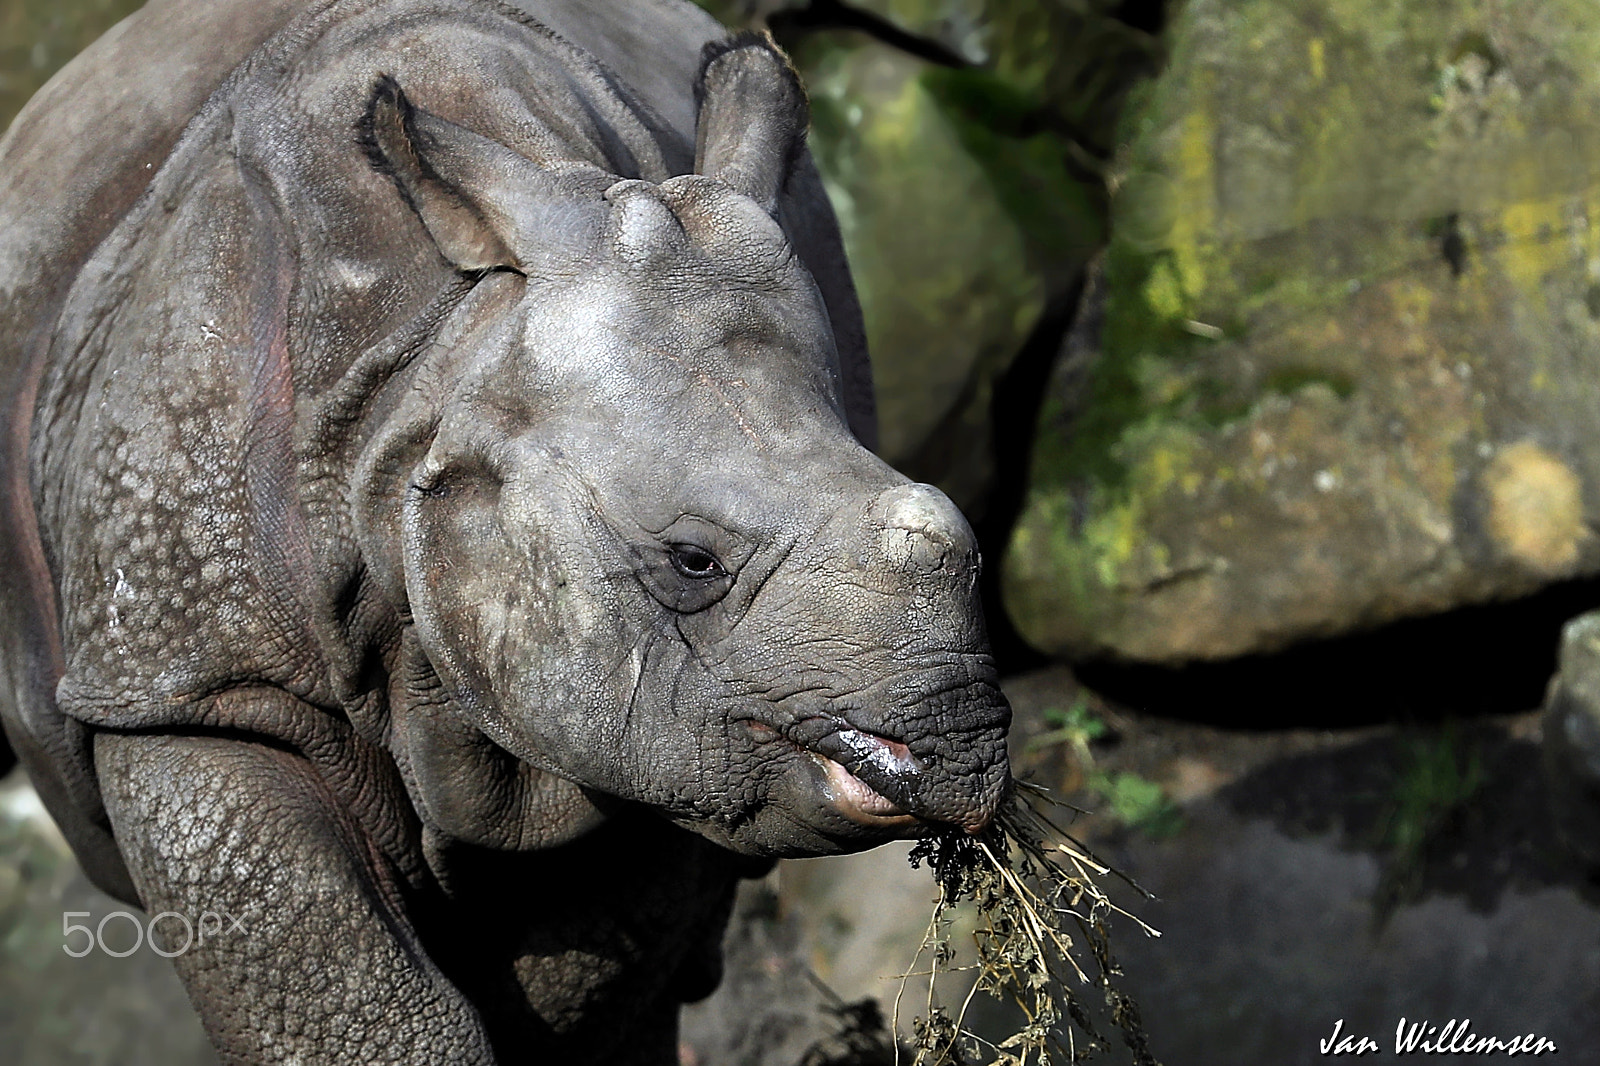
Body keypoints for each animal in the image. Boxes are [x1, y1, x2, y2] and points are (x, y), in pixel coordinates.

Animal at [0, 0, 1011, 1060]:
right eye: (693, 561)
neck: (440, 358)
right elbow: (345, 1000)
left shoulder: (669, 743)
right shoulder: (185, 677)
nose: (963, 755)